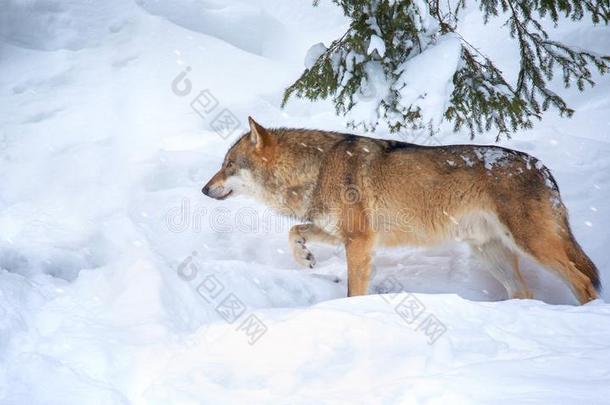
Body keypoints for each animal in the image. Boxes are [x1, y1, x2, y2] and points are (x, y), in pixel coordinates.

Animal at [203, 117, 600, 304]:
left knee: (583, 282)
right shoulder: (340, 232)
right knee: (525, 292)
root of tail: (544, 169)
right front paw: (305, 258)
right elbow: (293, 231)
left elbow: (354, 290)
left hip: (532, 244)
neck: (316, 169)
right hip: (491, 253)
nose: (205, 189)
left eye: (228, 165)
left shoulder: (360, 241)